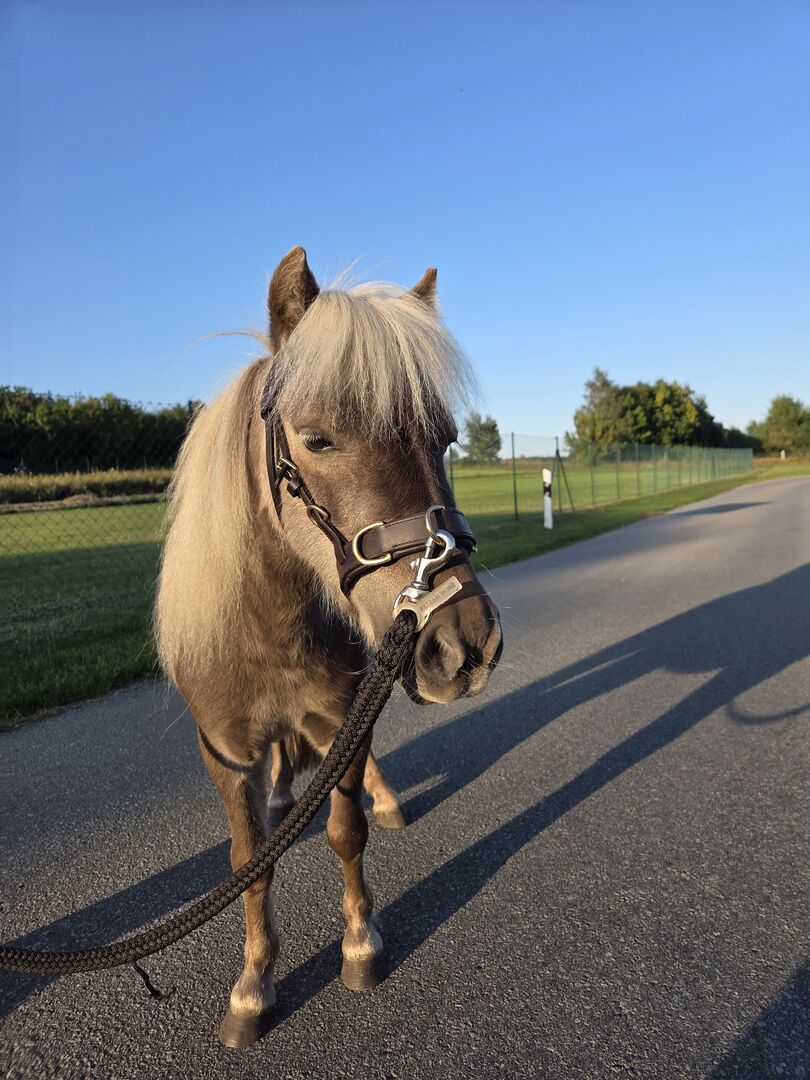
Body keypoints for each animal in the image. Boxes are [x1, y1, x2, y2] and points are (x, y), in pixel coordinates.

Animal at [155, 247, 503, 1048]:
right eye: (316, 439)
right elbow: (249, 862)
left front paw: (360, 943)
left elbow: (346, 832)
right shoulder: (226, 755)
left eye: (443, 439)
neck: (268, 636)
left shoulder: (348, 716)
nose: (465, 643)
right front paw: (253, 985)